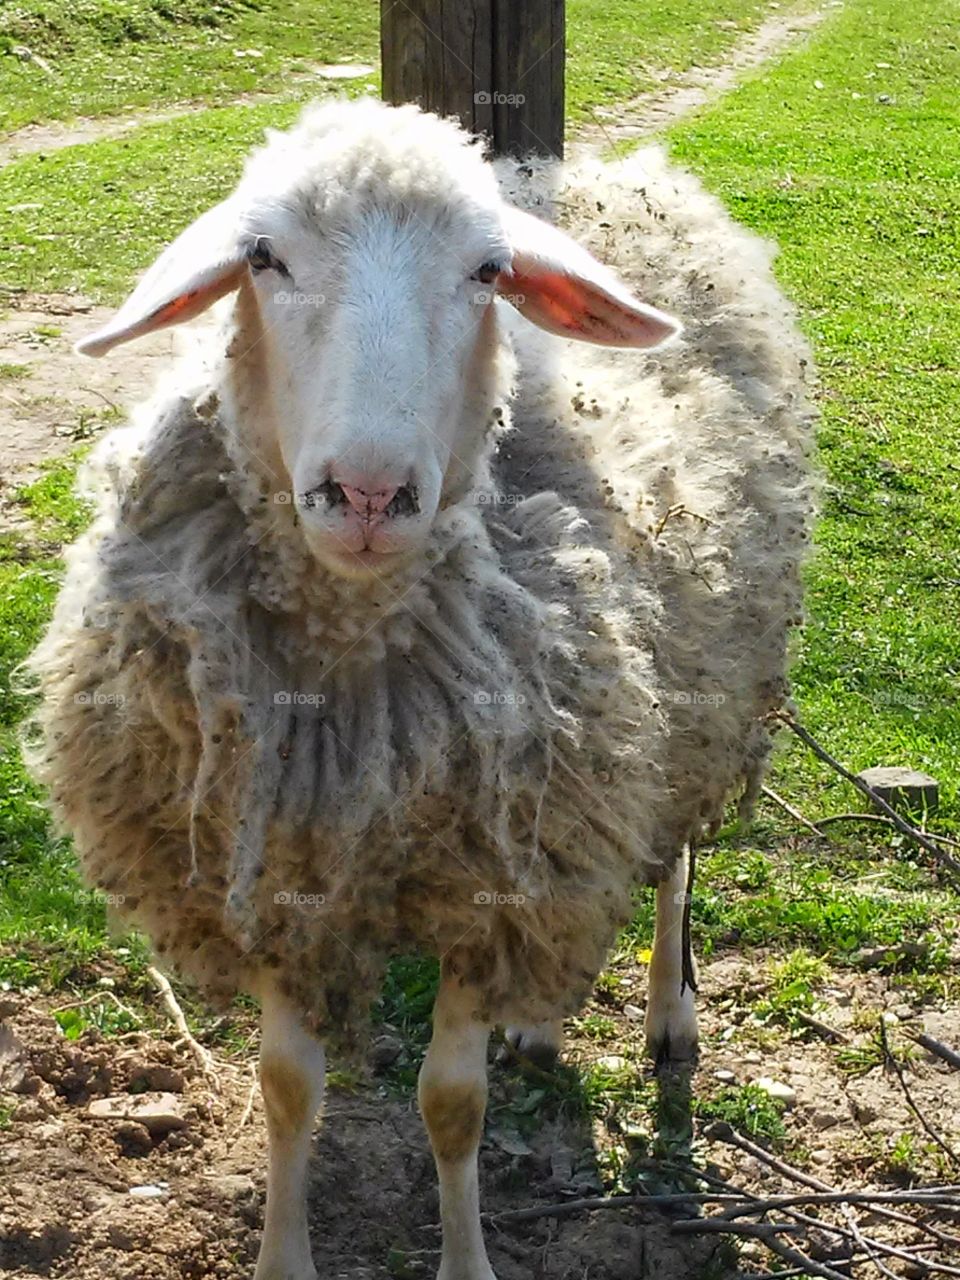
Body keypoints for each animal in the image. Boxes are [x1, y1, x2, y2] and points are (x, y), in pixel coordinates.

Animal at [26, 98, 815, 1280]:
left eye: (487, 272)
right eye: (263, 257)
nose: (367, 492)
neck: (355, 675)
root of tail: (587, 174)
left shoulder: (481, 881)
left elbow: (451, 1105)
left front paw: (467, 1258)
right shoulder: (277, 854)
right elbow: (286, 1089)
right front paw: (284, 1257)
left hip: (700, 687)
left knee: (673, 855)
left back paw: (668, 1018)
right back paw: (540, 1025)